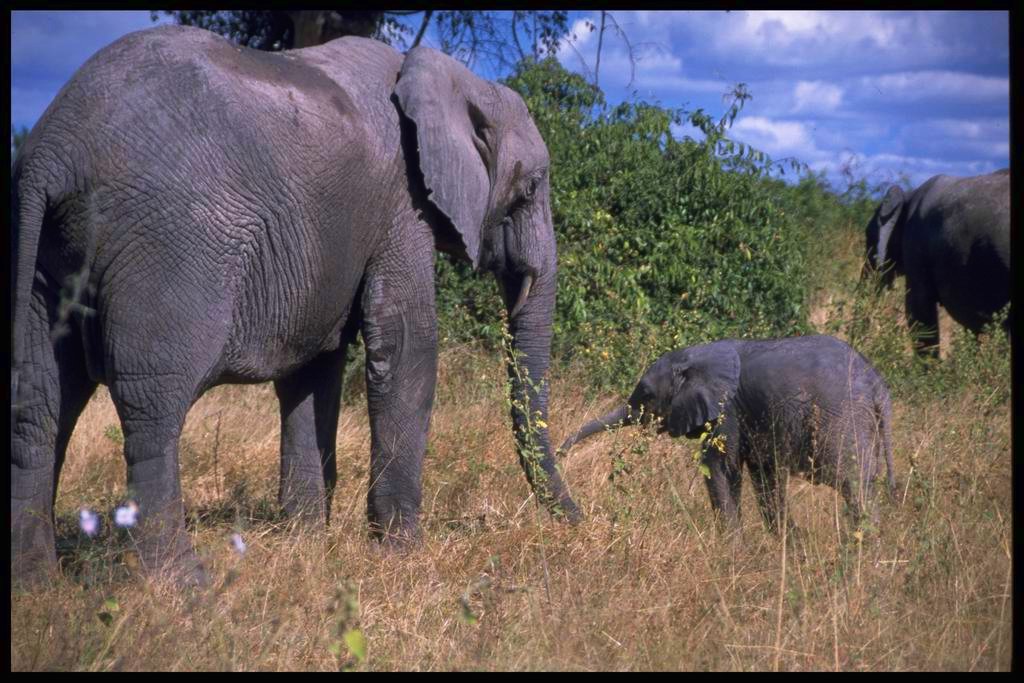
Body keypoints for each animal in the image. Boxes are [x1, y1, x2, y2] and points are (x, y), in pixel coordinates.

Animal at [11, 25, 580, 586]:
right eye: (530, 187)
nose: (579, 519)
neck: (455, 78)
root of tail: (52, 150)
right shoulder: (401, 205)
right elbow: (405, 346)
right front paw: (401, 553)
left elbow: (314, 367)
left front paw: (307, 543)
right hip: (168, 248)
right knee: (152, 404)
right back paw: (185, 585)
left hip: (41, 258)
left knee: (40, 402)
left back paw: (37, 584)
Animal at [558, 336, 896, 534]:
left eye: (648, 395)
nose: (560, 456)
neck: (695, 355)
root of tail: (878, 386)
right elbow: (766, 477)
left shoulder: (726, 410)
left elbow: (722, 468)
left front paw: (732, 553)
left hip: (843, 420)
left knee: (854, 485)